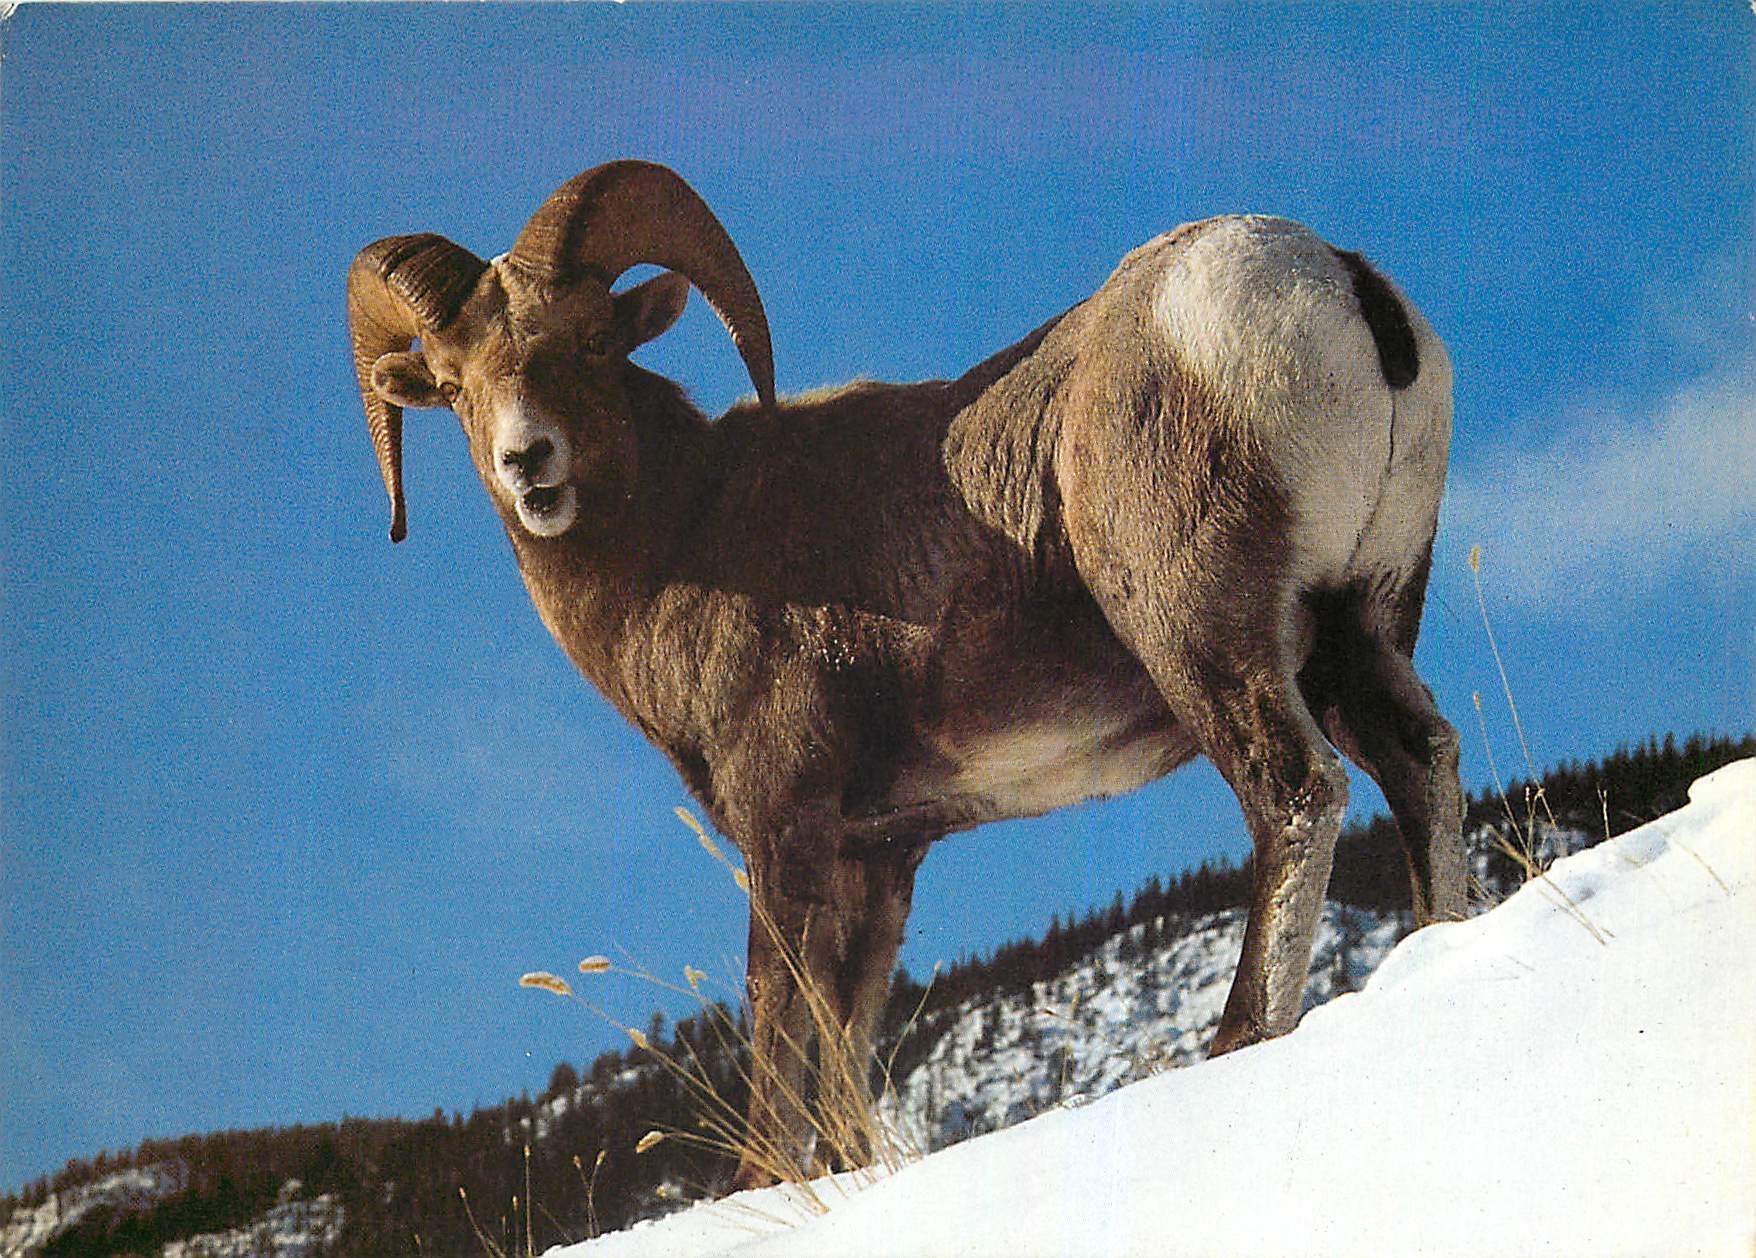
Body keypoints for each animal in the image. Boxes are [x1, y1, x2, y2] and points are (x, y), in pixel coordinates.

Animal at [347, 160, 1466, 1189]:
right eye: (452, 383)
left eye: (586, 343)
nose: (526, 463)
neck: (690, 537)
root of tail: (1337, 279)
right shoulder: (881, 856)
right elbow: (848, 1026)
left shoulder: (784, 823)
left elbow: (779, 1007)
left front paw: (763, 1181)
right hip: (1359, 631)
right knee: (1422, 765)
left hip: (1206, 637)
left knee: (1296, 792)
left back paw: (1234, 1039)